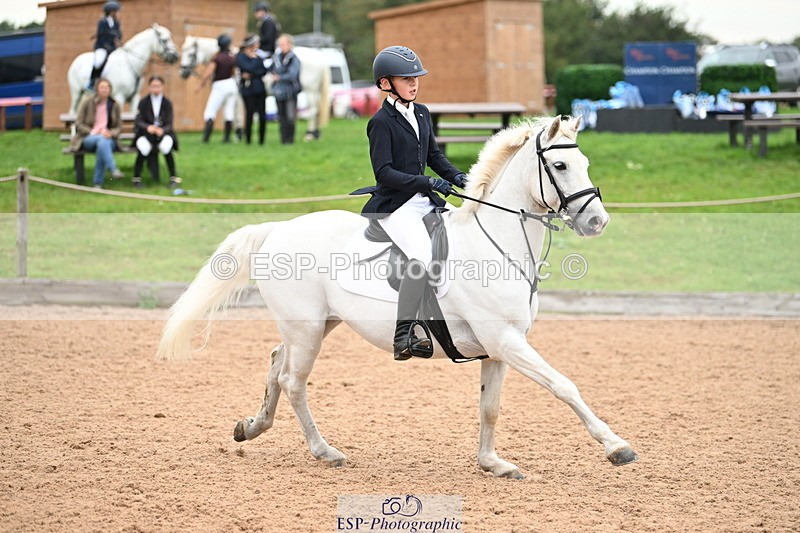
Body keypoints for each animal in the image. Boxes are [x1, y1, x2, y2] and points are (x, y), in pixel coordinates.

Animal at [156, 115, 639, 478]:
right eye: (559, 166)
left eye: (585, 162)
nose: (597, 221)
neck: (495, 241)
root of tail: (277, 228)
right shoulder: (505, 341)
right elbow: (564, 385)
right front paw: (616, 447)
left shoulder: (501, 346)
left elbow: (490, 407)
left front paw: (492, 463)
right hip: (306, 327)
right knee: (294, 381)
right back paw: (325, 451)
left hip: (316, 324)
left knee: (277, 364)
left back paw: (252, 427)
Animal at [178, 35, 330, 141]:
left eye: (190, 54)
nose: (182, 73)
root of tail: (319, 56)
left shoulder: (238, 96)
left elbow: (237, 115)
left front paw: (239, 135)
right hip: (314, 92)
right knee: (317, 111)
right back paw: (316, 134)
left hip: (310, 91)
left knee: (313, 111)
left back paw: (310, 135)